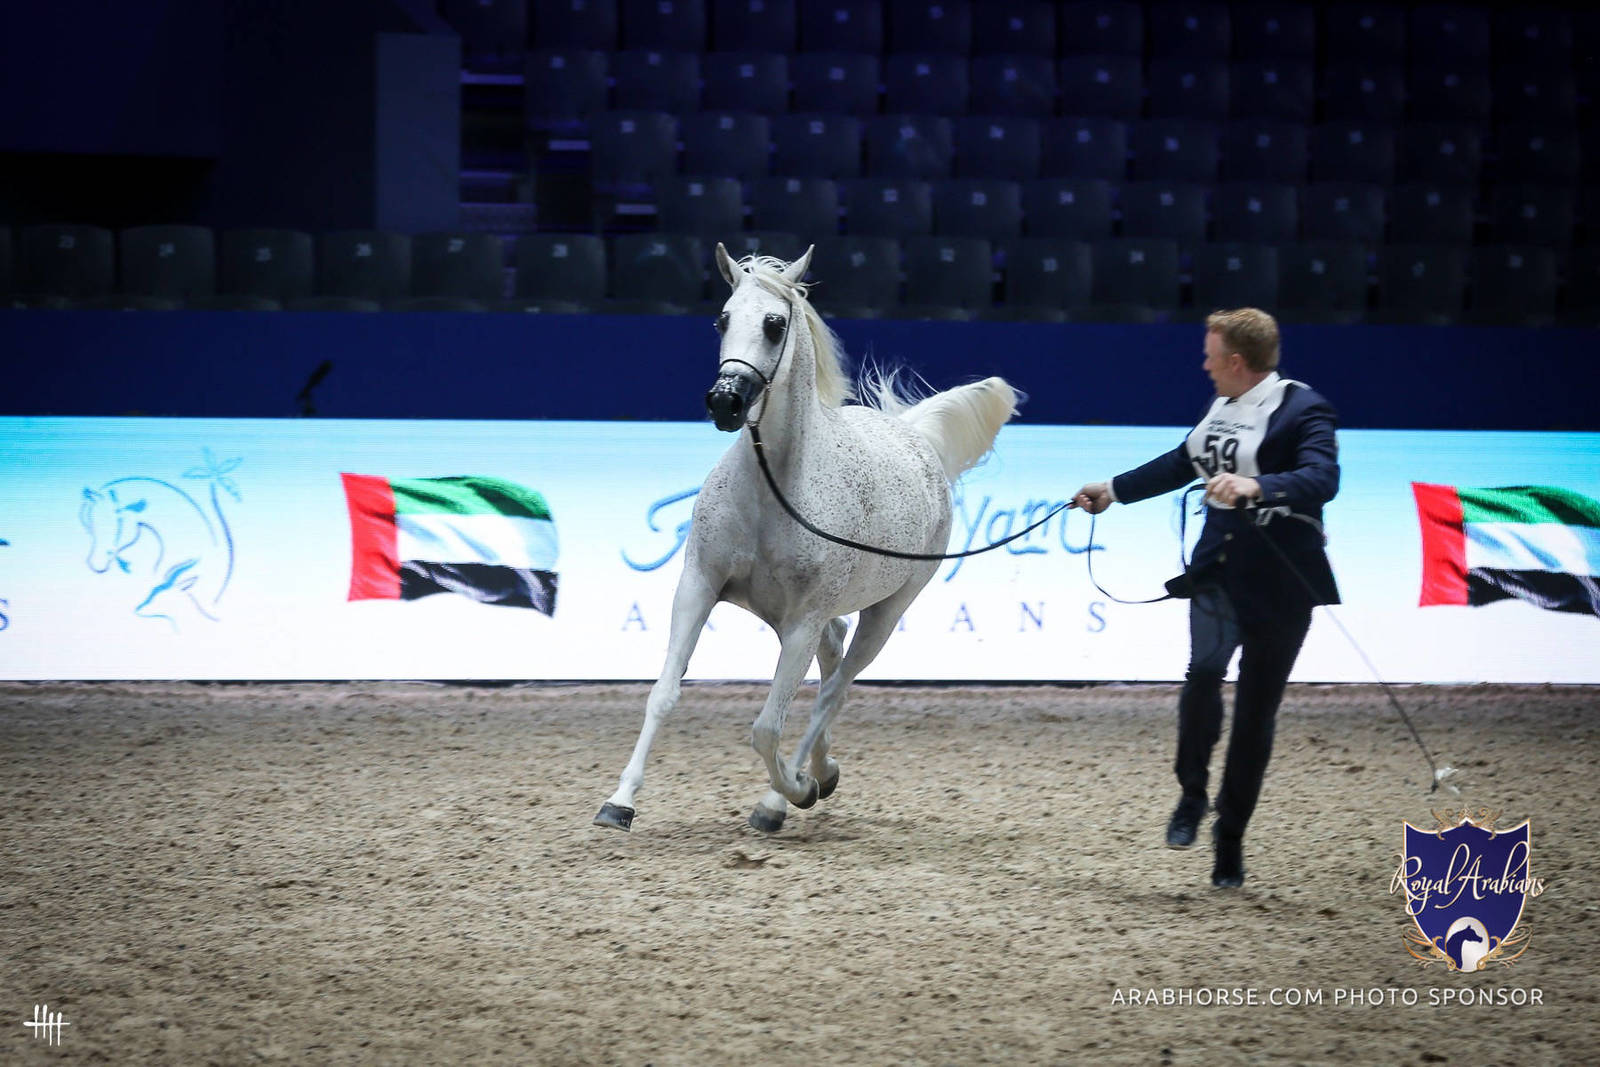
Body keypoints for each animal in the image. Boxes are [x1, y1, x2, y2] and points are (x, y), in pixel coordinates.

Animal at [595, 244, 1018, 834]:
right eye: (722, 318)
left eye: (774, 324)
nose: (725, 402)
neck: (771, 490)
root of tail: (916, 438)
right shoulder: (699, 586)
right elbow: (664, 694)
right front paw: (620, 802)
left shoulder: (802, 621)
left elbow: (767, 728)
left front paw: (784, 797)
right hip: (797, 617)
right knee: (832, 662)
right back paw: (823, 770)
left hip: (883, 612)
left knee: (833, 690)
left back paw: (791, 791)